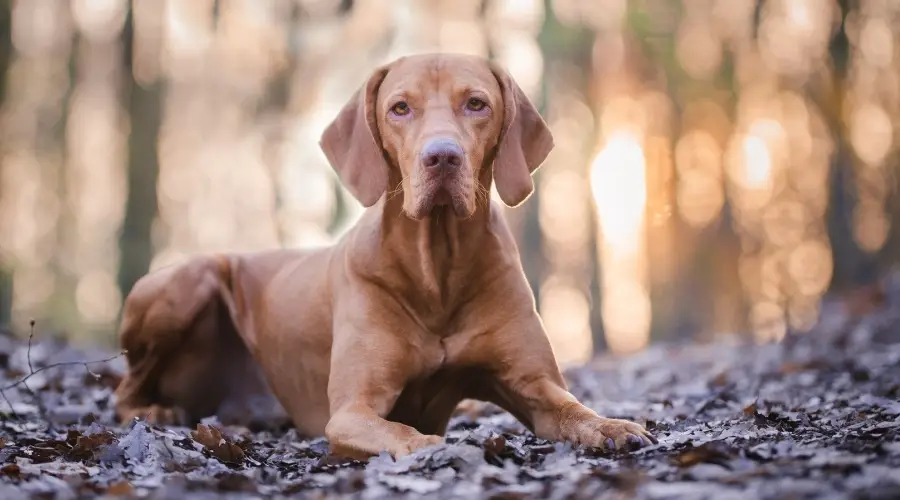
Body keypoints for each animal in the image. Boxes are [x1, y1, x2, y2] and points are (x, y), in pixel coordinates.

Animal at [116, 52, 656, 458]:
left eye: (476, 103)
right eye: (399, 108)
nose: (442, 156)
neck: (437, 268)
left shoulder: (534, 385)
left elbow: (572, 409)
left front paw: (612, 425)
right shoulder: (353, 410)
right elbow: (401, 431)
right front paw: (432, 446)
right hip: (189, 281)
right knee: (125, 389)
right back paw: (152, 411)